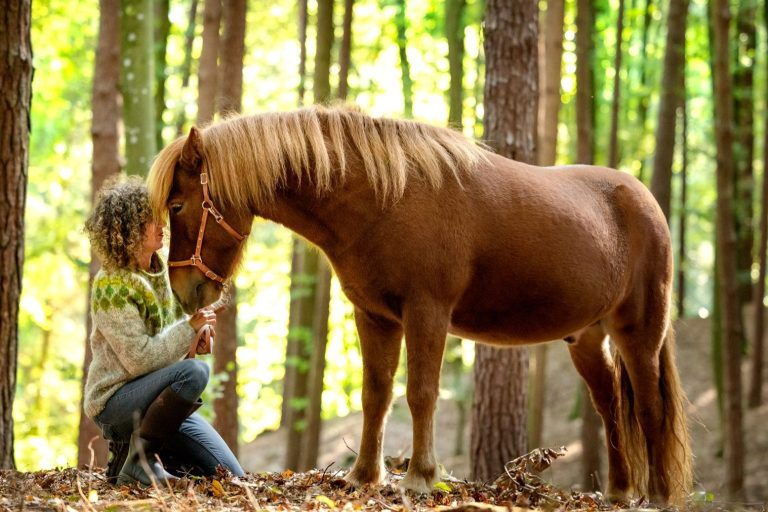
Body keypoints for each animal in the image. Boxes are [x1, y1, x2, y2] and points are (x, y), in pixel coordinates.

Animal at [147, 104, 692, 504]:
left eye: (177, 205)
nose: (186, 291)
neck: (384, 200)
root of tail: (645, 201)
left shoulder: (427, 313)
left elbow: (421, 393)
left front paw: (420, 477)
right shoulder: (374, 317)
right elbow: (376, 394)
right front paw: (364, 477)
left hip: (639, 333)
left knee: (649, 408)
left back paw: (659, 495)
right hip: (588, 338)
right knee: (611, 405)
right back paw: (620, 492)